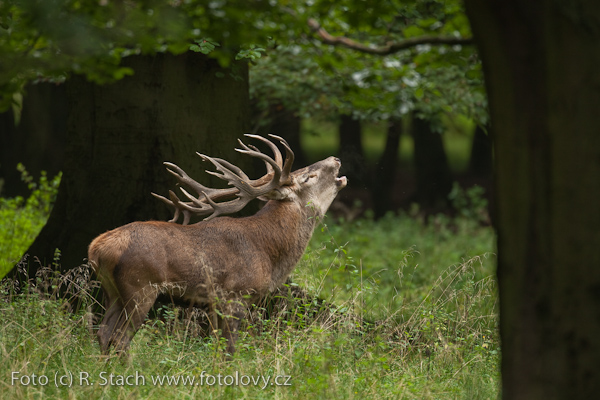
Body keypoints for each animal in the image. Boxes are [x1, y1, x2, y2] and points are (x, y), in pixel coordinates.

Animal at [88, 134, 346, 356]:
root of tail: (95, 249)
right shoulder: (236, 295)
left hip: (112, 291)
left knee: (103, 333)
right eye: (308, 177)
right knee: (120, 339)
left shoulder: (214, 304)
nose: (335, 158)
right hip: (140, 287)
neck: (269, 253)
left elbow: (218, 347)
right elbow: (229, 349)